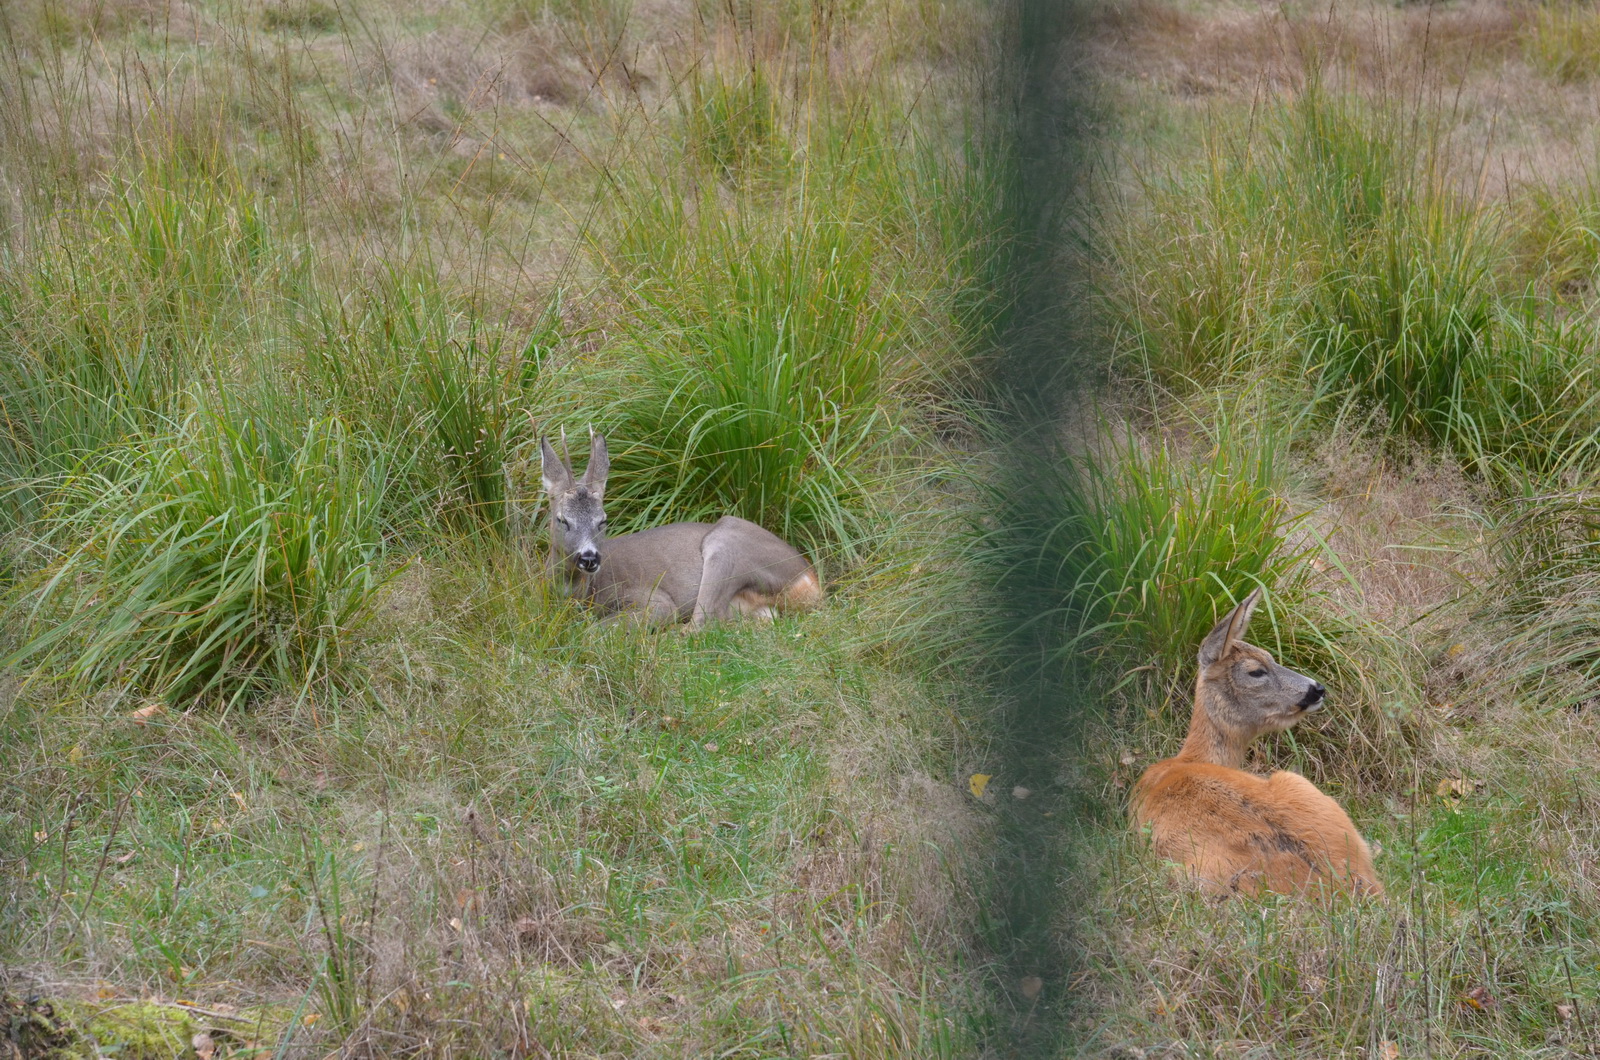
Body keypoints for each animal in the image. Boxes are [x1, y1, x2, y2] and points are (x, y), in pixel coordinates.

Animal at [540, 435, 819, 630]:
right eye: (562, 519)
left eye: (603, 520)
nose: (589, 558)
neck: (582, 593)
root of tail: (810, 580)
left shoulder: (651, 597)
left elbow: (595, 630)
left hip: (725, 548)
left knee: (701, 625)